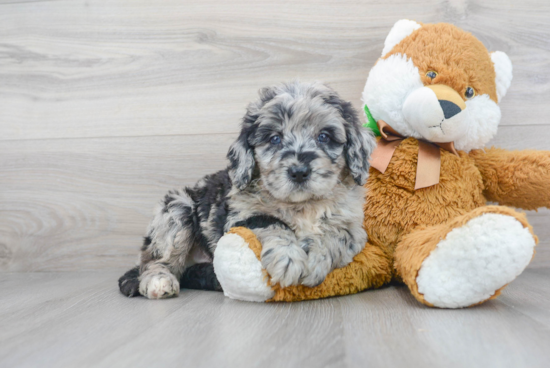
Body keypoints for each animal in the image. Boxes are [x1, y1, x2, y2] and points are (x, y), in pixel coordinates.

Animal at [118, 81, 378, 300]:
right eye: (274, 138)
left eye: (324, 136)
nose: (299, 171)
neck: (301, 206)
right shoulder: (239, 217)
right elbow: (272, 223)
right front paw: (288, 258)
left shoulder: (352, 226)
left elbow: (336, 236)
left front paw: (315, 260)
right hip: (177, 210)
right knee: (154, 261)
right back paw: (160, 281)